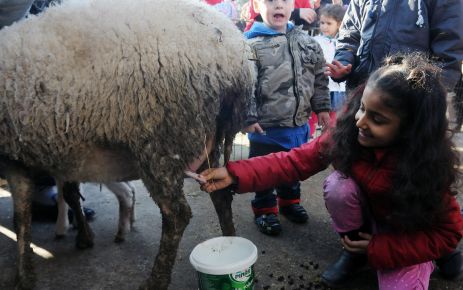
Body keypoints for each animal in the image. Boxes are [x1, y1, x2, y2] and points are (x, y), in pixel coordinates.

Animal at [0, 0, 254, 288]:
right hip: (202, 143)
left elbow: (21, 217)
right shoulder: (67, 152)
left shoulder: (15, 157)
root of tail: (236, 57)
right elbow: (68, 195)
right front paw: (84, 237)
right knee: (220, 194)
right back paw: (231, 240)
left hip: (162, 140)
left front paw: (24, 275)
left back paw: (156, 280)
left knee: (177, 214)